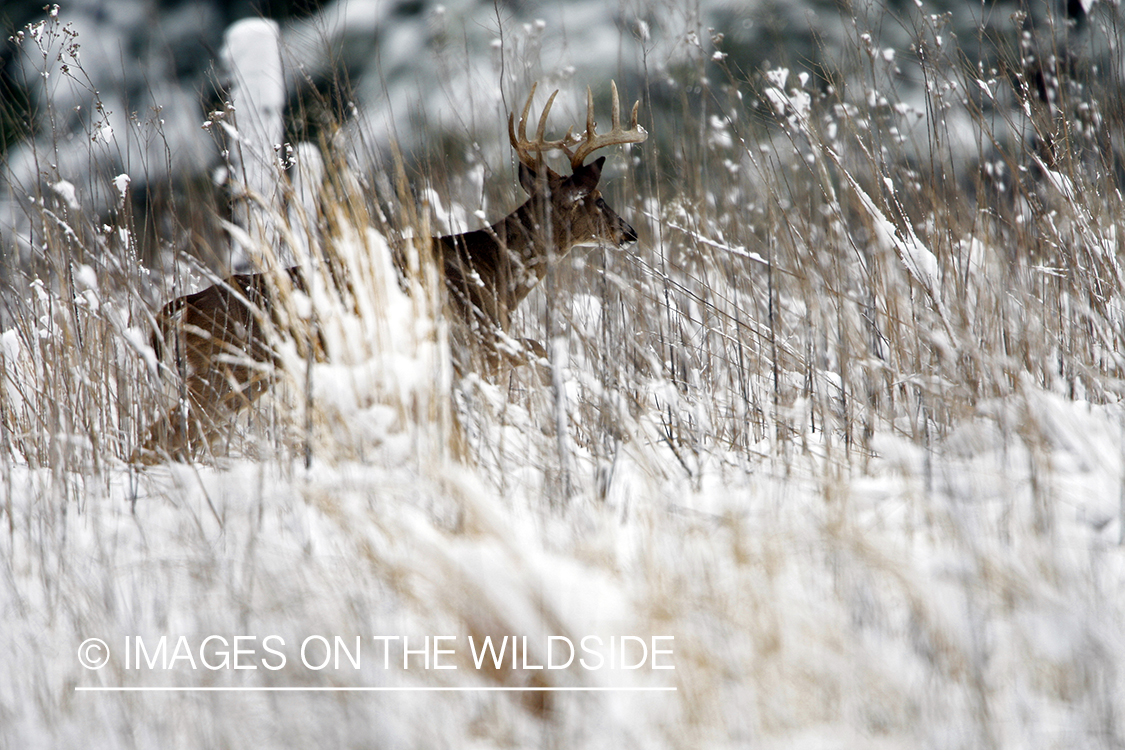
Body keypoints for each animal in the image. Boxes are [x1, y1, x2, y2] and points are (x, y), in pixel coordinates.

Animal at [139, 80, 648, 458]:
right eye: (597, 199)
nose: (629, 232)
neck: (493, 271)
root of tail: (180, 305)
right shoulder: (473, 342)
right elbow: (539, 351)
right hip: (222, 375)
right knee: (160, 440)